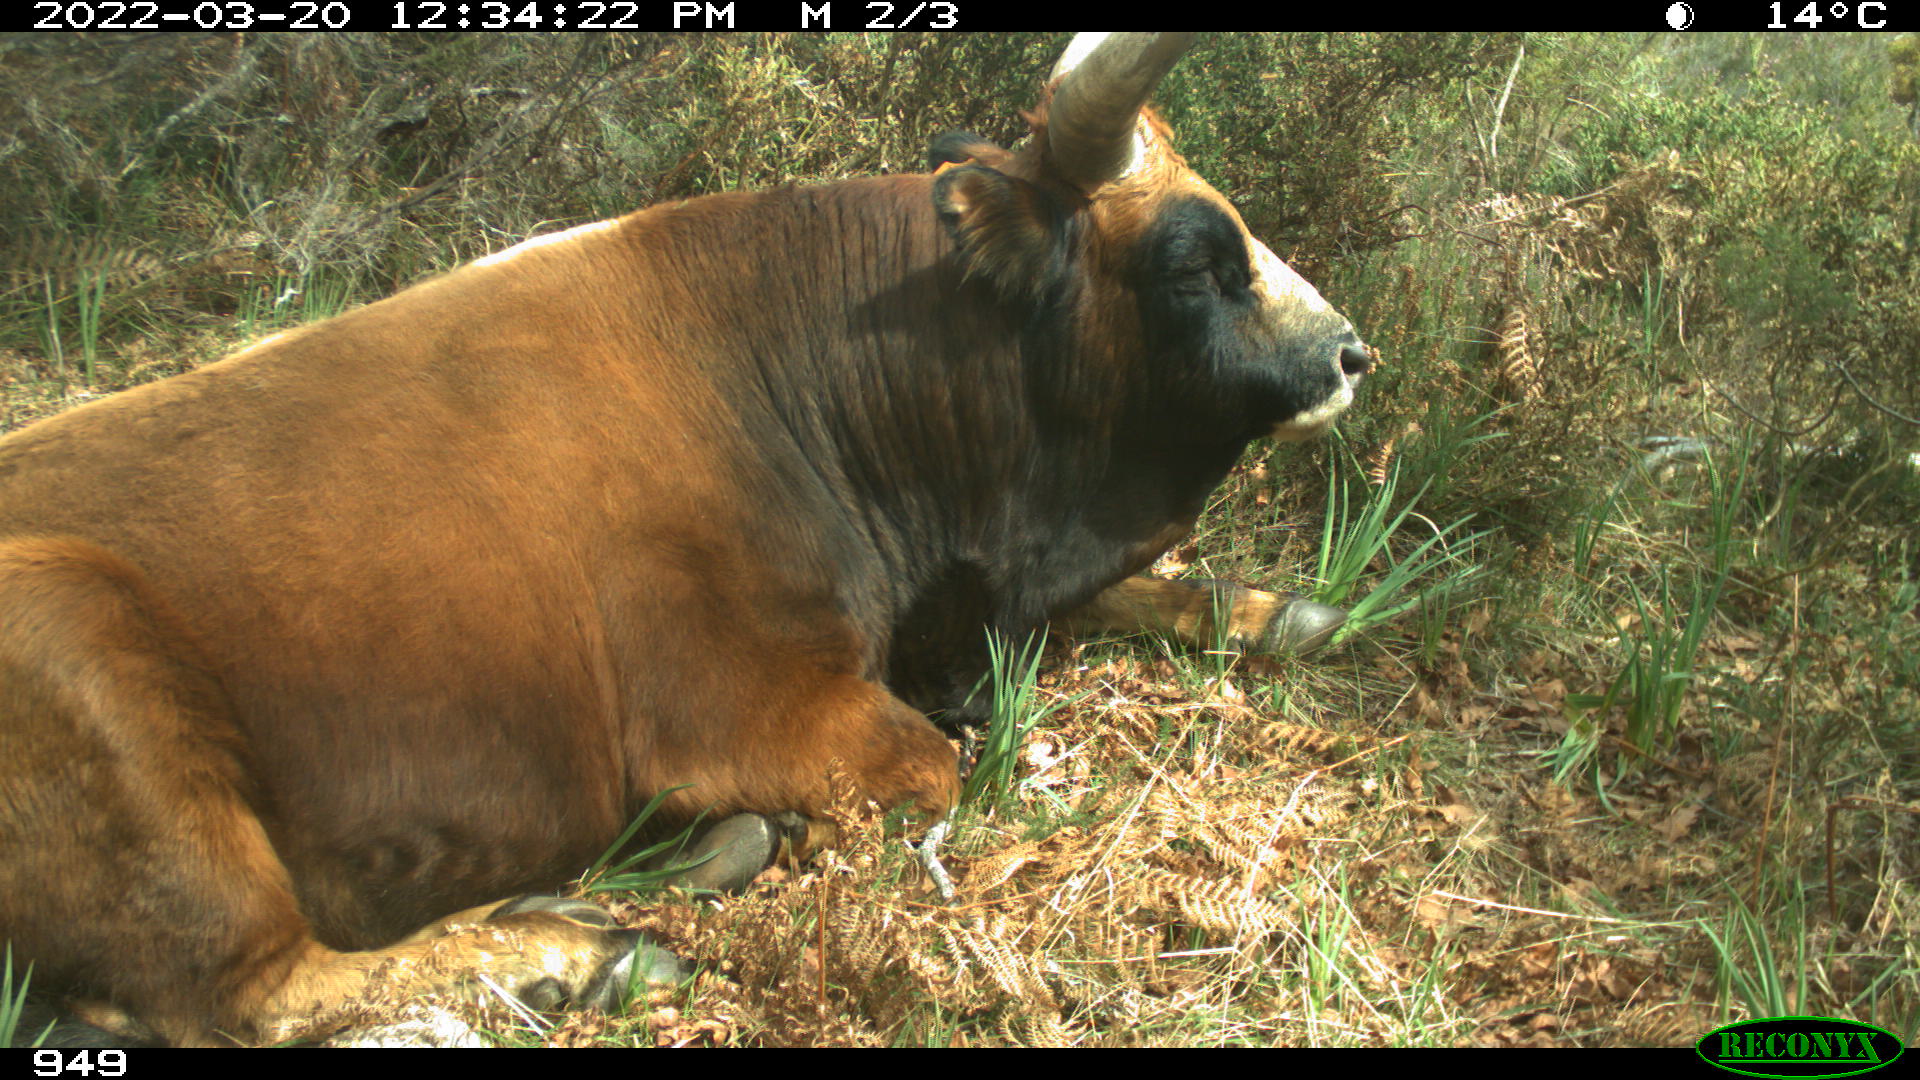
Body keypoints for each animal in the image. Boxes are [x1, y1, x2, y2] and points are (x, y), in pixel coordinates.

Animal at [0, 33, 1369, 1046]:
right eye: (1194, 260)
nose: (1350, 352)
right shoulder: (747, 708)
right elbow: (931, 763)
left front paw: (1267, 607)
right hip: (94, 662)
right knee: (234, 994)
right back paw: (577, 947)